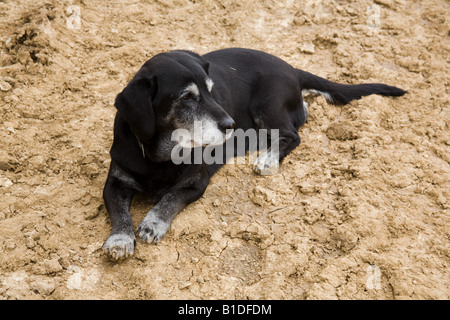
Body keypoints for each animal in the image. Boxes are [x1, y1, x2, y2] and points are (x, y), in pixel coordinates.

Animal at [103, 47, 408, 258]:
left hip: (268, 104)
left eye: (211, 91)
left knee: (293, 134)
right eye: (187, 97)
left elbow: (170, 198)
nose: (231, 125)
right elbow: (119, 213)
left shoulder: (195, 184)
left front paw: (153, 223)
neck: (159, 156)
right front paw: (120, 240)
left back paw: (268, 159)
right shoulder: (114, 183)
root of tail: (292, 68)